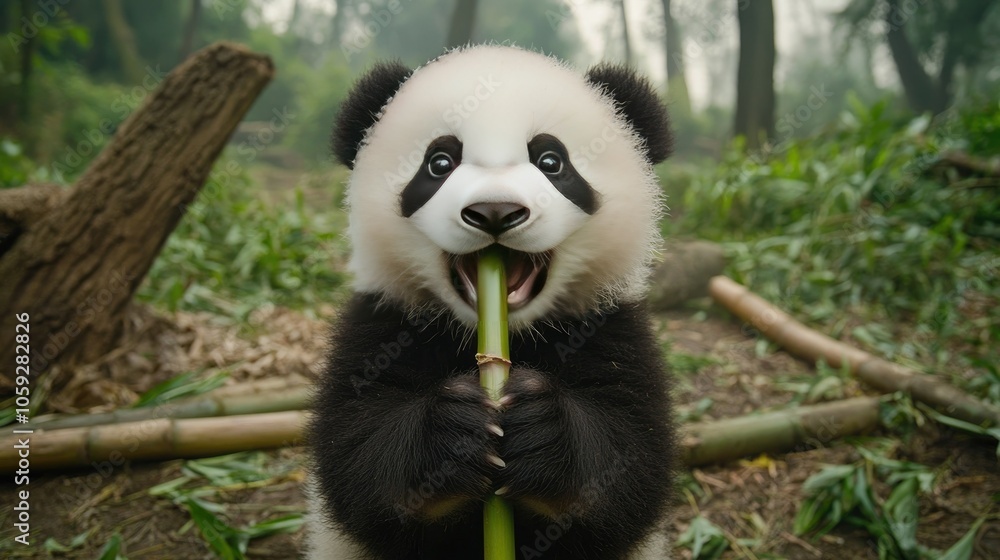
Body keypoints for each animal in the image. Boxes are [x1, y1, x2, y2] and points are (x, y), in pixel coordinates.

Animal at [308, 45, 676, 559]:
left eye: (551, 161)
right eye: (439, 162)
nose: (495, 211)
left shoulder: (610, 327)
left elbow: (632, 463)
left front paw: (541, 431)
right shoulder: (382, 323)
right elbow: (355, 456)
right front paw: (453, 434)